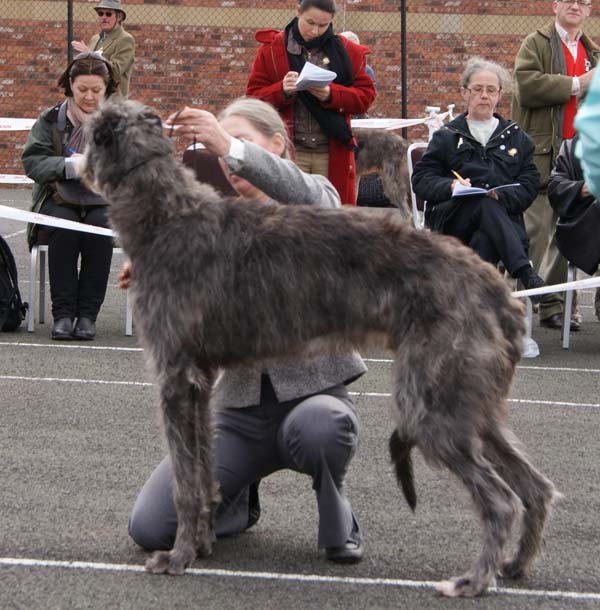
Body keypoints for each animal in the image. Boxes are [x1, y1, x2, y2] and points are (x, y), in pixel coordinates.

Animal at [81, 102, 556, 596]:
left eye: (90, 128)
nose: (73, 165)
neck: (169, 215)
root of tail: (497, 289)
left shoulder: (175, 375)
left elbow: (184, 478)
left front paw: (177, 557)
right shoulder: (199, 380)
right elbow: (203, 467)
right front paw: (203, 542)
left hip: (434, 399)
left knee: (501, 500)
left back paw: (474, 579)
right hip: (473, 400)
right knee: (535, 485)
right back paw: (515, 564)